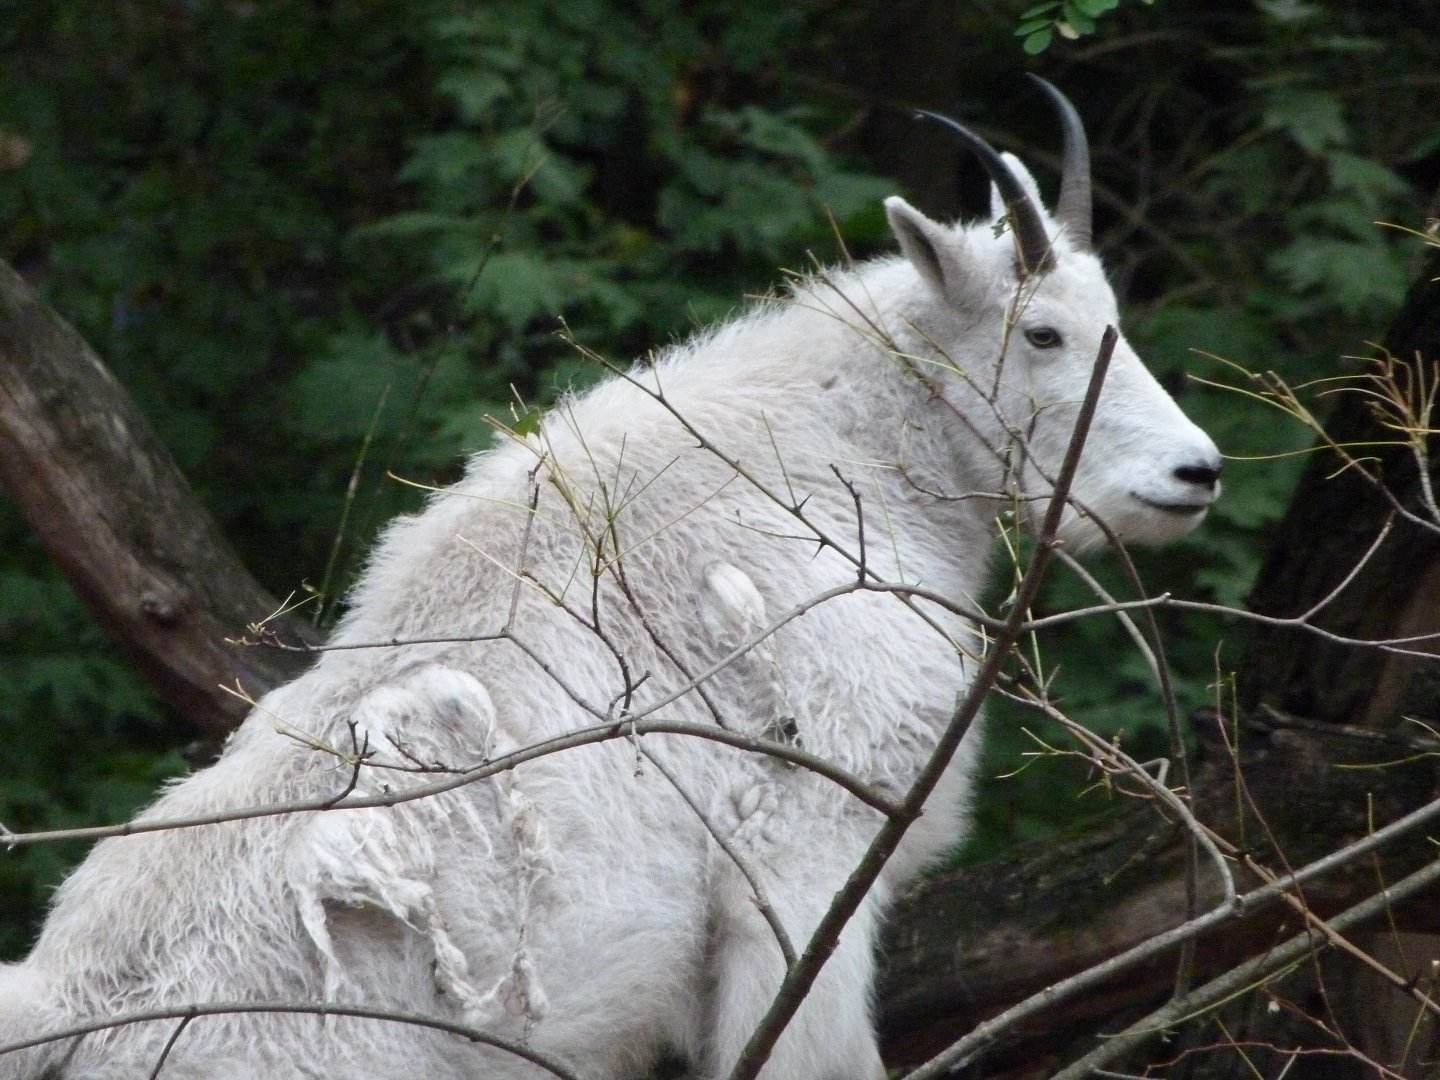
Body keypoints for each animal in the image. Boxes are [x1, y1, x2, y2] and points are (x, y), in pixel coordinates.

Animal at [0, 80, 1221, 1078]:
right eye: (1045, 333)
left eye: (1113, 323)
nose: (1194, 472)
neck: (843, 460)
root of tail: (65, 1008)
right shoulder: (804, 864)